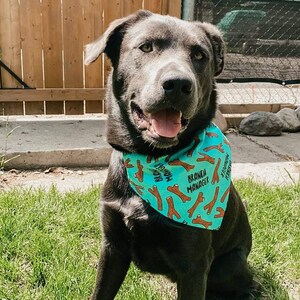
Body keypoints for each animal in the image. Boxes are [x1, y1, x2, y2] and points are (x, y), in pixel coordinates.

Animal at [85, 9, 254, 300]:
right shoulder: (112, 247)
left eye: (200, 55)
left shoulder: (195, 265)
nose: (178, 84)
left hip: (229, 266)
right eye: (146, 47)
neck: (151, 159)